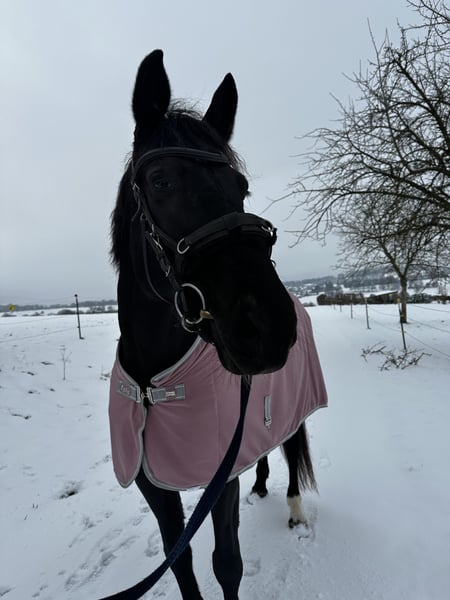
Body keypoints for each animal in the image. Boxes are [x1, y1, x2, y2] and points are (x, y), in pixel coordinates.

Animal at [109, 49, 327, 600]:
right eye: (161, 181)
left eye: (241, 187)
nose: (268, 326)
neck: (154, 382)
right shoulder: (155, 482)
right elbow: (179, 559)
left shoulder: (218, 477)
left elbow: (226, 562)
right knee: (263, 451)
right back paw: (261, 483)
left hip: (293, 407)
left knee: (291, 447)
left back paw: (292, 506)